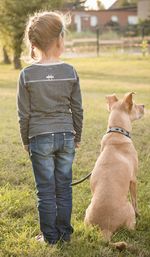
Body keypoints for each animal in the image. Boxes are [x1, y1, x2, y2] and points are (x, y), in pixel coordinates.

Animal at [84, 92, 144, 242]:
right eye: (135, 105)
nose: (144, 105)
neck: (117, 132)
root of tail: (105, 229)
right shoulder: (133, 180)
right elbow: (135, 200)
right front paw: (139, 214)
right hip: (128, 210)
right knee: (130, 228)